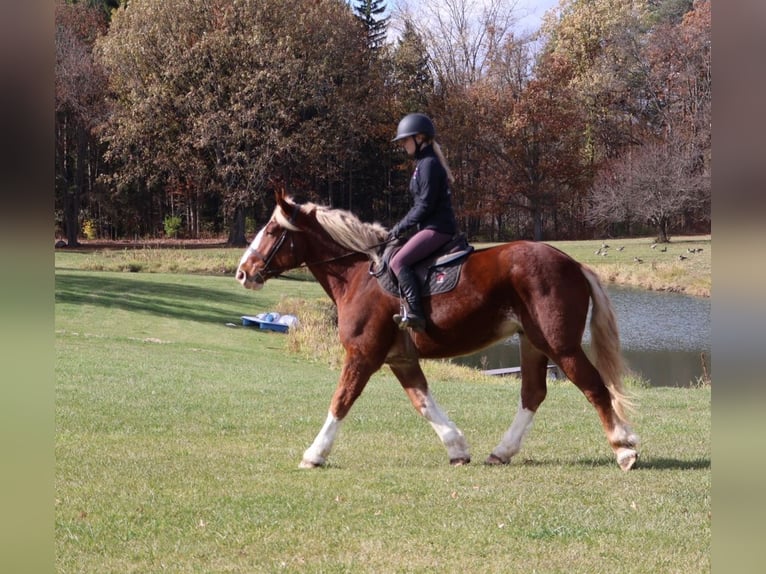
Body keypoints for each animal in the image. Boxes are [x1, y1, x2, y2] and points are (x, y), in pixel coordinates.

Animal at [236, 192, 639, 471]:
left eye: (272, 230)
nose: (243, 271)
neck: (358, 275)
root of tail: (572, 262)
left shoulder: (363, 355)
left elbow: (341, 401)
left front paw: (314, 454)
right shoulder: (400, 359)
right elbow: (423, 402)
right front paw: (457, 447)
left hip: (560, 345)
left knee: (594, 387)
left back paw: (624, 449)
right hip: (533, 343)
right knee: (533, 394)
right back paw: (502, 451)